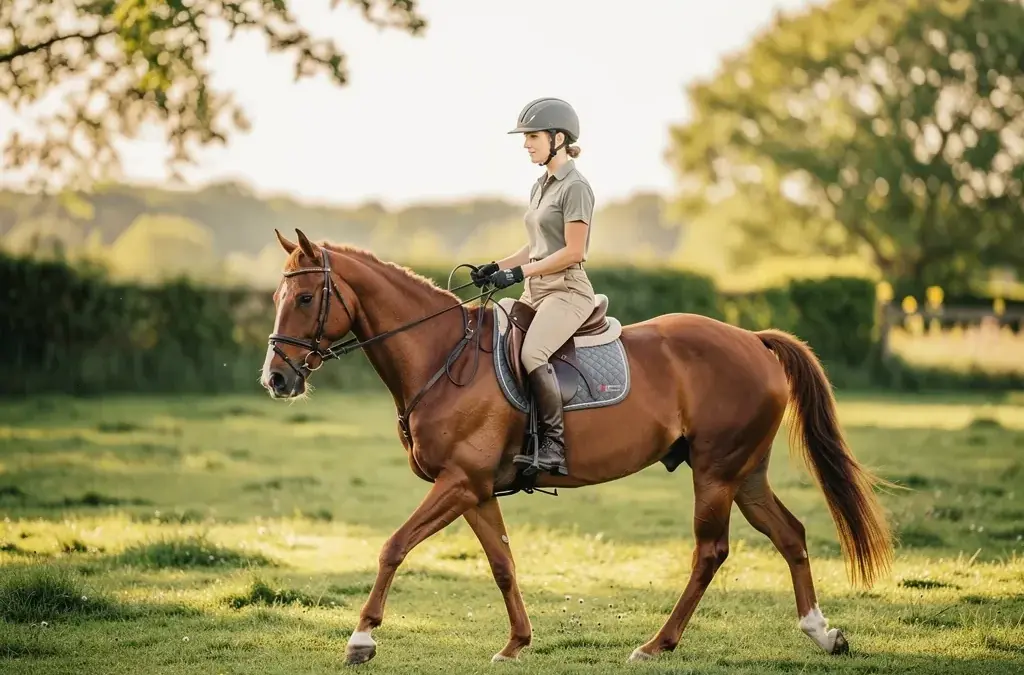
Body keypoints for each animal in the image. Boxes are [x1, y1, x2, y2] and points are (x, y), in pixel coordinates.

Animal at [260, 228, 894, 666]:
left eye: (307, 298)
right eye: (277, 298)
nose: (277, 379)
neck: (443, 357)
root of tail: (754, 341)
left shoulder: (458, 482)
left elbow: (393, 546)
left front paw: (361, 638)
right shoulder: (475, 490)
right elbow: (503, 564)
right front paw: (516, 643)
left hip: (716, 473)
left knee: (710, 553)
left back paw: (657, 644)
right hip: (746, 473)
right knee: (790, 535)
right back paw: (822, 633)